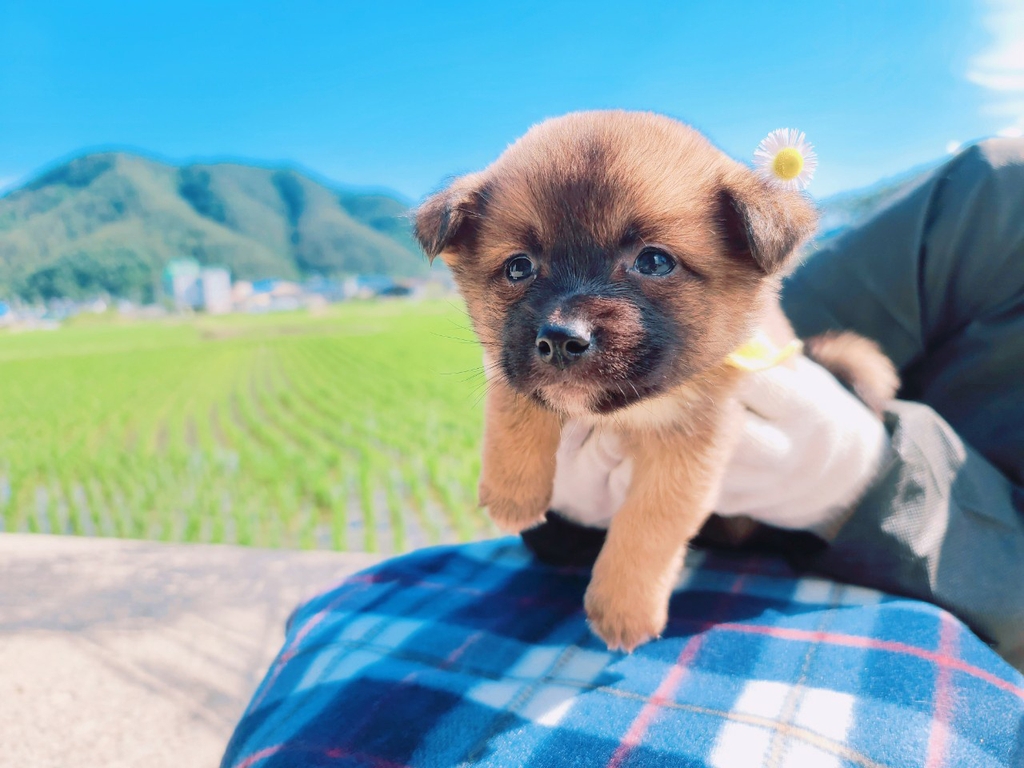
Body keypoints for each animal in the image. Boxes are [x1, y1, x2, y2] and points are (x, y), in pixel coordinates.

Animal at [415, 111, 897, 651]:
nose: (561, 339)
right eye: (518, 267)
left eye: (654, 261)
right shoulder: (511, 356)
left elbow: (648, 525)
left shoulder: (690, 445)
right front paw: (512, 490)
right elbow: (517, 401)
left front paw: (623, 608)